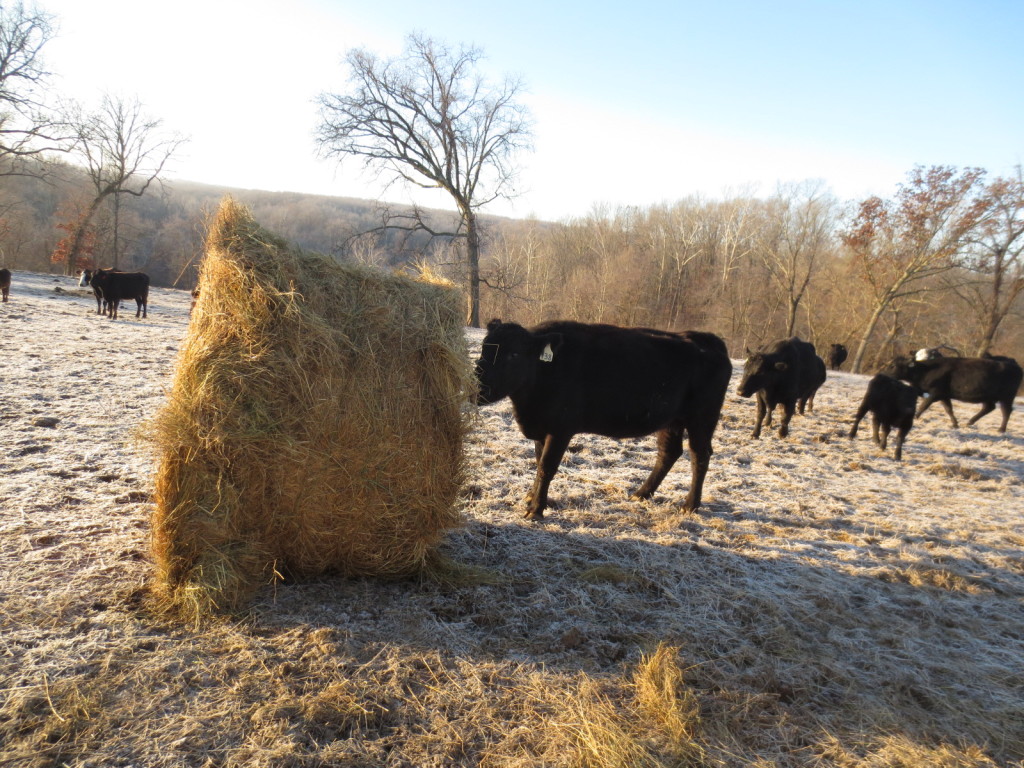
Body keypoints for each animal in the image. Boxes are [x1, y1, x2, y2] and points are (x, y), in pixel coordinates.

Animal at [474, 319, 733, 521]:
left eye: (513, 354)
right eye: (484, 349)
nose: (477, 388)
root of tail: (707, 339)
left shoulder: (560, 429)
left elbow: (547, 466)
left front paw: (535, 509)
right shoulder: (542, 426)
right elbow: (539, 462)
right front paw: (534, 497)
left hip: (702, 417)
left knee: (699, 455)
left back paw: (690, 505)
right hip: (672, 421)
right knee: (669, 452)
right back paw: (641, 493)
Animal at [881, 354, 1023, 433]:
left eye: (893, 366)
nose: (883, 375)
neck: (926, 370)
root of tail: (1014, 364)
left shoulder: (936, 393)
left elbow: (924, 405)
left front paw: (916, 416)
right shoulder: (944, 395)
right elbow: (949, 409)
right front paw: (955, 424)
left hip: (1007, 397)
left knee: (1006, 411)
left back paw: (1001, 429)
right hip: (989, 397)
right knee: (988, 408)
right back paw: (970, 422)